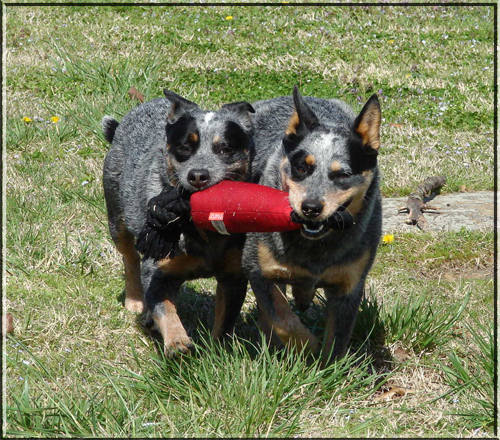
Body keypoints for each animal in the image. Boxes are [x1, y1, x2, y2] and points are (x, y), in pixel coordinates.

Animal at [101, 90, 254, 358]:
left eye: (225, 149)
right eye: (184, 147)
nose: (198, 174)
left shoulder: (233, 277)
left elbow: (225, 321)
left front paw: (217, 353)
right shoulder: (159, 272)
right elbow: (165, 309)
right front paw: (177, 341)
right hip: (116, 214)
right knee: (129, 256)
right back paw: (135, 300)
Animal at [243, 87, 382, 362]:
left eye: (343, 174)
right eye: (300, 168)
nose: (311, 207)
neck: (314, 250)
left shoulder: (349, 285)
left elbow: (337, 341)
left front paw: (328, 368)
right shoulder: (259, 270)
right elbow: (283, 321)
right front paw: (308, 348)